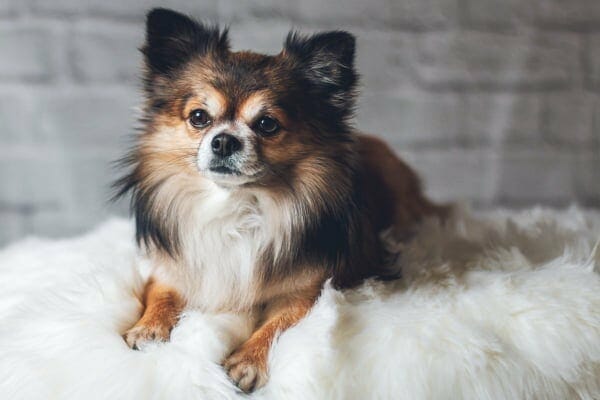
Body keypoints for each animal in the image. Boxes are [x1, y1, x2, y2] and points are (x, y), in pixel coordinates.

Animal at [116, 7, 446, 392]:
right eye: (199, 117)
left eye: (267, 124)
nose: (224, 140)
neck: (237, 204)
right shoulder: (176, 268)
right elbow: (160, 294)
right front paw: (149, 326)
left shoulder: (307, 292)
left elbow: (277, 324)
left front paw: (247, 360)